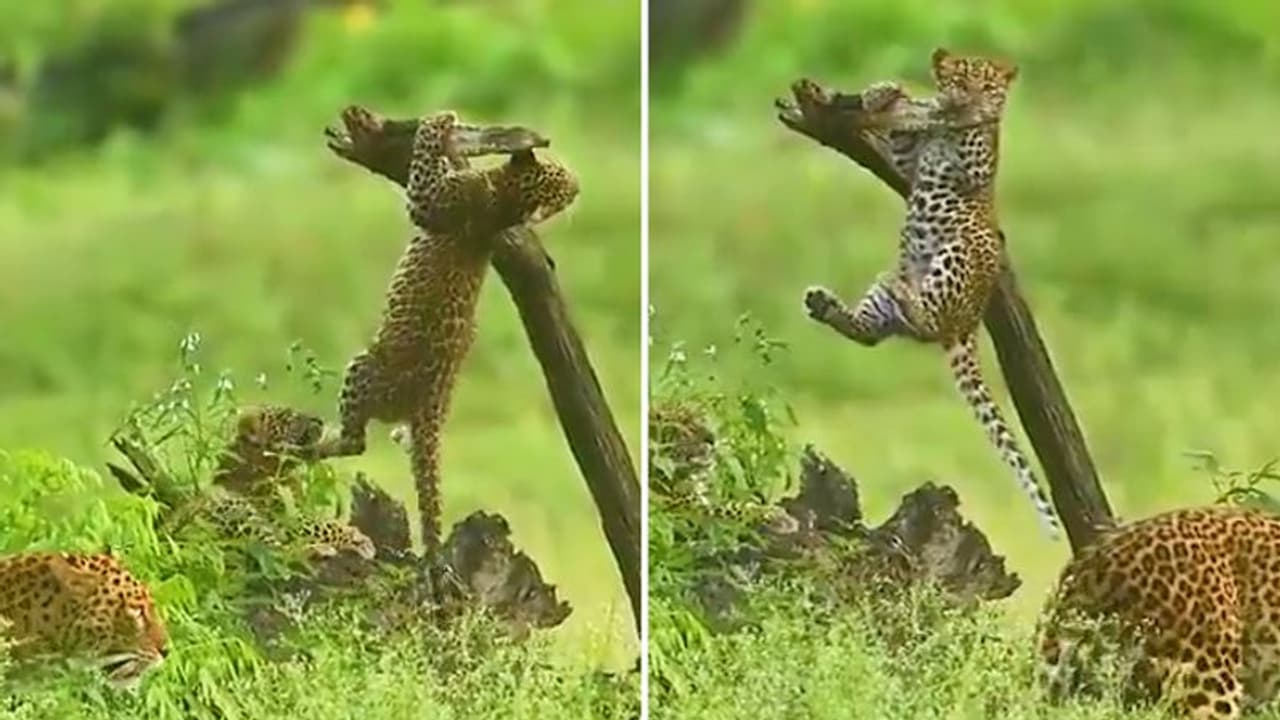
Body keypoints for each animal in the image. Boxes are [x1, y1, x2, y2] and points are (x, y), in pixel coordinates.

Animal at [312, 109, 579, 553]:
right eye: (563, 179)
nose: (579, 187)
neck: (504, 200)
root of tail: (430, 406)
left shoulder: (427, 201)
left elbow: (425, 164)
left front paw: (440, 119)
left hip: (364, 366)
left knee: (356, 442)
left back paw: (324, 439)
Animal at [801, 48, 1061, 539]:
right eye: (957, 74)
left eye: (983, 80)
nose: (966, 92)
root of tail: (968, 326)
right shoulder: (908, 159)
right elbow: (904, 137)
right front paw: (884, 91)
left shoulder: (977, 161)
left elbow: (977, 131)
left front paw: (972, 112)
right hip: (883, 296)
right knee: (871, 333)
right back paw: (828, 304)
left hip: (960, 250)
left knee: (926, 323)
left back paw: (906, 293)